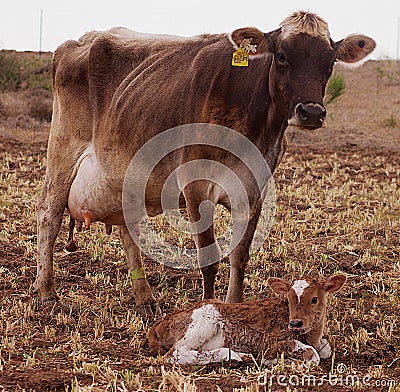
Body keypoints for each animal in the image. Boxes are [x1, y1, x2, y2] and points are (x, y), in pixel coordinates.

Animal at [35, 11, 376, 318]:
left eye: (330, 62)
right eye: (281, 56)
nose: (311, 112)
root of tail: (81, 40)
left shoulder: (254, 190)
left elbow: (240, 256)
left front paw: (235, 307)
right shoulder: (196, 188)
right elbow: (209, 259)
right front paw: (207, 313)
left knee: (128, 233)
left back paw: (145, 300)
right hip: (63, 150)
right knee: (49, 215)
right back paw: (47, 293)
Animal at [148, 274, 346, 366]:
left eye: (314, 299)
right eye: (289, 300)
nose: (295, 323)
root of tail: (157, 324)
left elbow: (325, 349)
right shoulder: (269, 341)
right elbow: (312, 354)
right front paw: (275, 361)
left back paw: (243, 356)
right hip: (204, 320)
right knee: (174, 354)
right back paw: (233, 355)